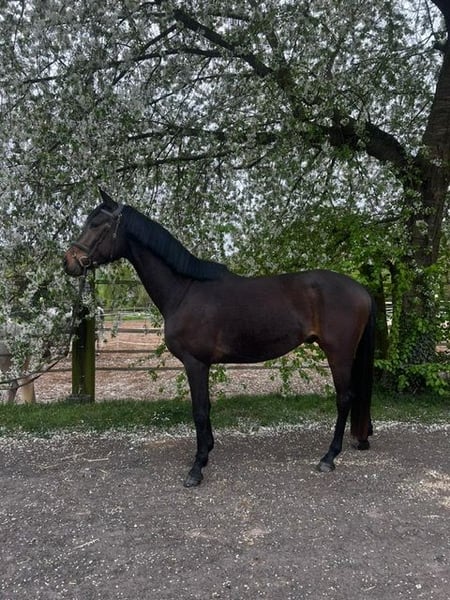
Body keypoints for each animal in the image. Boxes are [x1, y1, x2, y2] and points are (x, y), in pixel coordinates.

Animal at [64, 189, 375, 487]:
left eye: (96, 224)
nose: (69, 262)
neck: (185, 290)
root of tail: (361, 289)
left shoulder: (195, 363)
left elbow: (199, 411)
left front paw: (197, 467)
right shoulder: (202, 365)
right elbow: (207, 408)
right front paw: (208, 450)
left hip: (339, 353)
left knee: (344, 398)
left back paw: (329, 457)